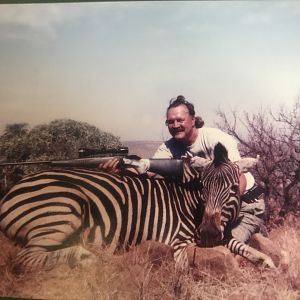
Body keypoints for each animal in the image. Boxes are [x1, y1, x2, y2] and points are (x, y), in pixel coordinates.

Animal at [0, 148, 274, 272]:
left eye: (233, 188)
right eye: (203, 187)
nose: (207, 233)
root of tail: (9, 192)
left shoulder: (222, 234)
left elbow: (241, 246)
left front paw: (266, 262)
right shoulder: (177, 241)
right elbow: (187, 267)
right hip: (65, 208)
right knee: (24, 258)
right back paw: (87, 257)